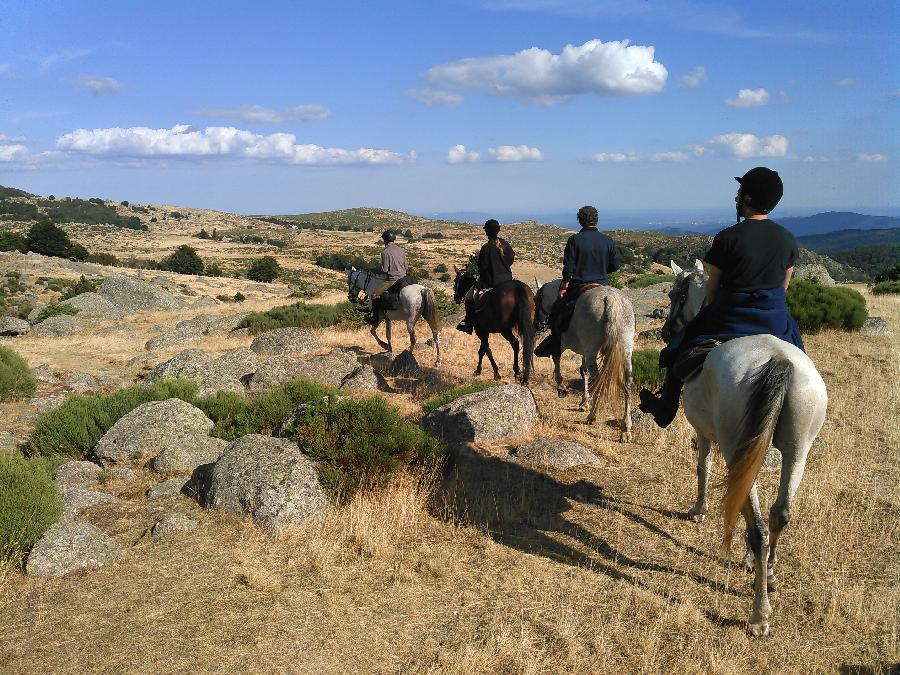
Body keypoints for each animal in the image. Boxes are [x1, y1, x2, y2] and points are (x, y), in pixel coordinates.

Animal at [536, 280, 636, 444]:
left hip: (592, 349)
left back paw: (592, 416)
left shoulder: (561, 343)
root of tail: (611, 298)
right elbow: (584, 372)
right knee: (627, 382)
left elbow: (557, 360)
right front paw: (584, 402)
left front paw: (561, 388)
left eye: (536, 299)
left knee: (599, 378)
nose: (537, 324)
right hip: (625, 348)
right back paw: (625, 428)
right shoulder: (584, 350)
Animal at [664, 258, 828, 640]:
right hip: (799, 449)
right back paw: (770, 575)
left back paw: (759, 614)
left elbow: (703, 467)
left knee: (758, 529)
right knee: (780, 514)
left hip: (739, 448)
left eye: (675, 294)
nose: (665, 332)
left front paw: (699, 509)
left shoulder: (705, 433)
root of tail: (779, 361)